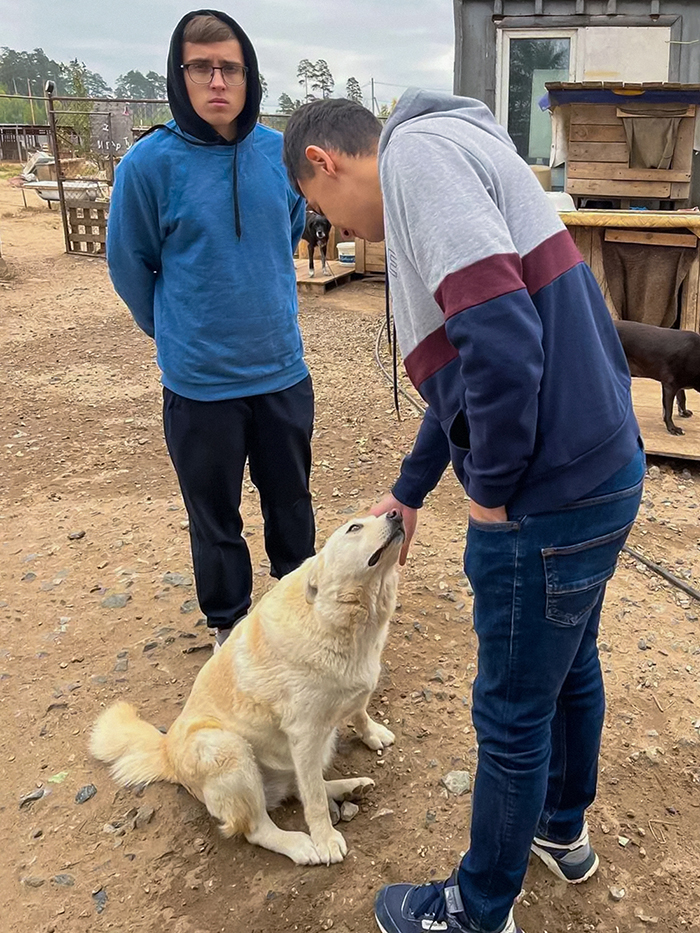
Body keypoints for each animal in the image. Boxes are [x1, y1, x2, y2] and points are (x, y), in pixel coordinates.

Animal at [89, 512, 404, 864]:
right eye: (354, 528)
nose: (396, 513)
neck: (338, 617)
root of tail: (166, 750)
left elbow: (359, 712)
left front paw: (373, 733)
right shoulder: (305, 734)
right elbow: (313, 802)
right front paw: (325, 840)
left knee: (301, 787)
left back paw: (350, 786)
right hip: (228, 749)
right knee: (261, 826)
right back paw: (301, 845)